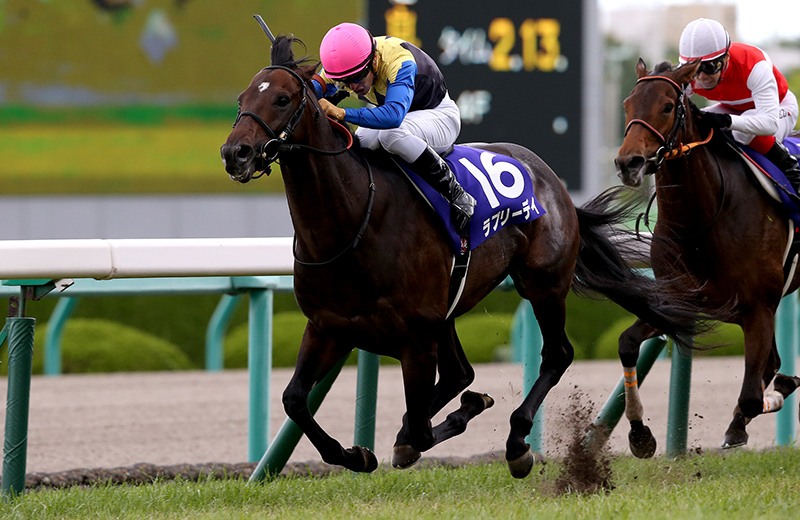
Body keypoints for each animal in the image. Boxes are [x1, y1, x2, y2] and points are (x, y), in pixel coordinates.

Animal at [220, 36, 703, 478]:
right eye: (242, 99)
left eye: (282, 98)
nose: (234, 153)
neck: (352, 220)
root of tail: (551, 177)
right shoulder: (328, 327)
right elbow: (295, 400)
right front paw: (356, 455)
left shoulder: (415, 338)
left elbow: (418, 427)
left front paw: (440, 427)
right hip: (449, 309)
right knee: (459, 374)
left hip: (542, 284)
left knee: (556, 354)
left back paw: (517, 443)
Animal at [614, 58, 800, 457]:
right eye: (626, 104)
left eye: (668, 106)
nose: (628, 163)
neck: (703, 219)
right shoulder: (677, 300)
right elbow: (627, 344)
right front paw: (640, 433)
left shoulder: (758, 308)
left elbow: (752, 395)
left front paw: (782, 388)